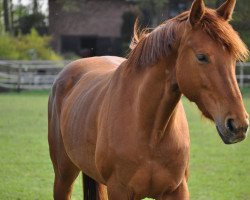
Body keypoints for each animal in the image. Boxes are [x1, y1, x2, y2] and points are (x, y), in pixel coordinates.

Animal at [48, 0, 248, 199]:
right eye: (201, 56)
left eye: (234, 58)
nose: (238, 124)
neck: (150, 132)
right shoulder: (119, 190)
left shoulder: (177, 190)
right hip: (63, 178)